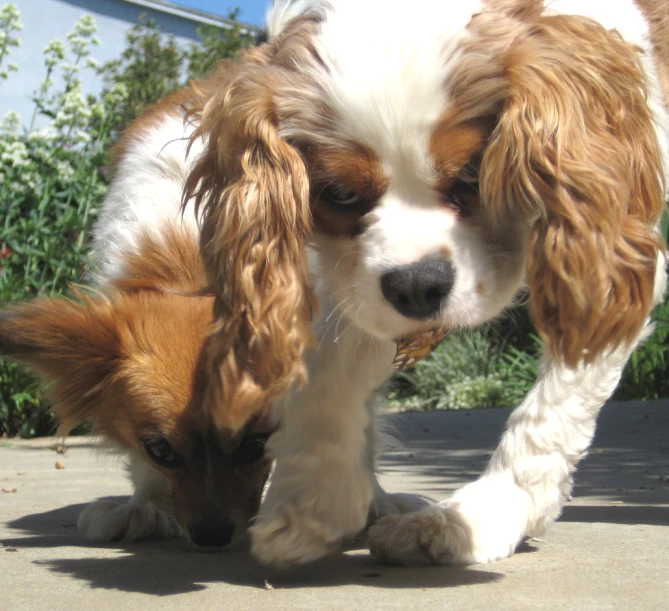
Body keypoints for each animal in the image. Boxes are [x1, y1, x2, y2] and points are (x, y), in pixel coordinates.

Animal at [174, 0, 668, 568]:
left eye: (474, 175)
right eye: (340, 194)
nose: (417, 285)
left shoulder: (610, 254)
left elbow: (553, 409)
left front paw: (484, 515)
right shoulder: (349, 275)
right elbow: (330, 365)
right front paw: (314, 496)